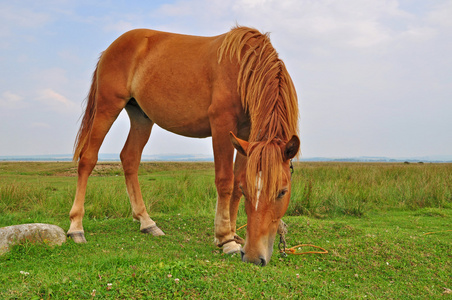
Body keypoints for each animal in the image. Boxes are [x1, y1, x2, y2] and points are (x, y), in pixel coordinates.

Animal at [68, 25, 300, 264]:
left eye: (283, 191)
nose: (253, 257)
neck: (242, 68)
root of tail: (110, 48)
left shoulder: (245, 134)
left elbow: (236, 183)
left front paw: (234, 234)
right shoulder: (222, 125)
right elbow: (225, 181)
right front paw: (225, 239)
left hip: (141, 116)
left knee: (130, 158)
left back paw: (146, 222)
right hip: (108, 106)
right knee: (88, 159)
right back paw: (76, 227)